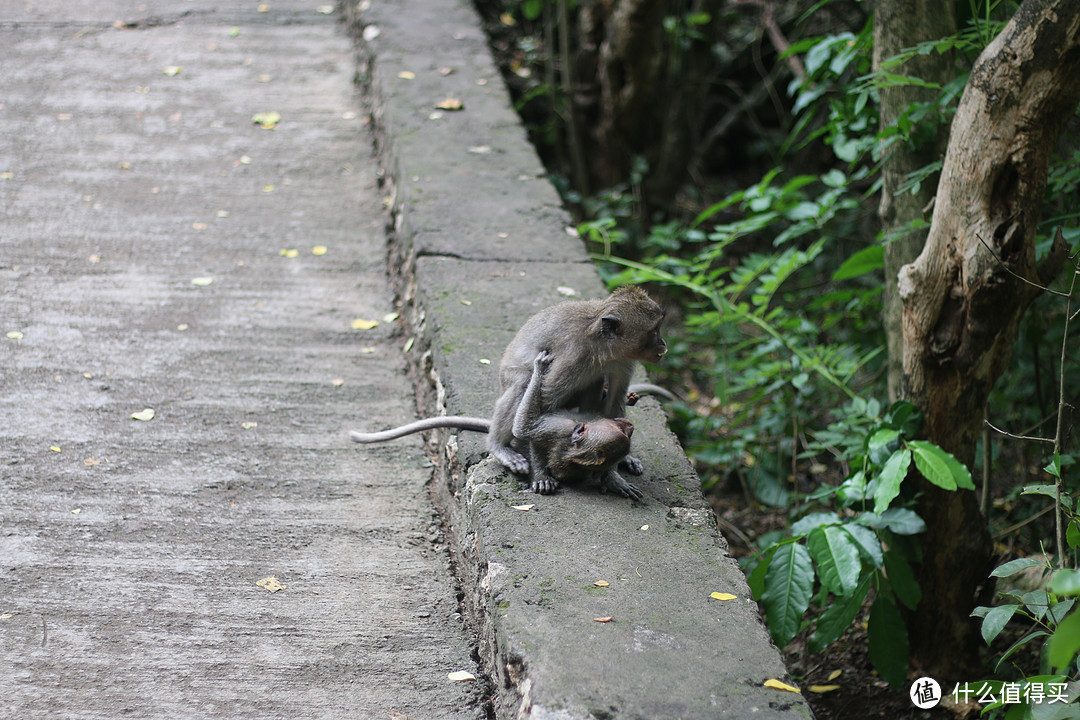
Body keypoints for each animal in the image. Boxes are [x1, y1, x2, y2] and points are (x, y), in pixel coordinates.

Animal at [349, 349, 643, 498]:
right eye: (621, 431)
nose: (628, 427)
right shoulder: (564, 428)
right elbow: (531, 433)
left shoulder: (560, 429)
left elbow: (526, 428)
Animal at [490, 284, 665, 479]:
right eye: (654, 330)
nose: (663, 343)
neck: (602, 346)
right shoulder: (571, 359)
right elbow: (543, 406)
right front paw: (541, 472)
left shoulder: (624, 360)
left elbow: (616, 398)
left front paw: (619, 465)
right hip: (506, 376)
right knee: (522, 381)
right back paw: (499, 447)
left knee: (595, 380)